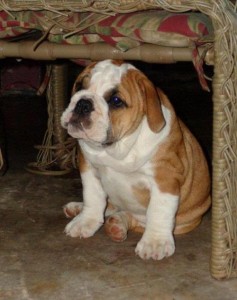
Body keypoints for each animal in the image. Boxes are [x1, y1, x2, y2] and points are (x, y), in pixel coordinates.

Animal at [61, 59, 211, 260]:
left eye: (116, 101)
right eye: (79, 86)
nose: (83, 103)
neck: (117, 147)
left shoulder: (165, 178)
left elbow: (159, 210)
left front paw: (155, 242)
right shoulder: (89, 168)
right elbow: (93, 197)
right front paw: (85, 221)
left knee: (136, 219)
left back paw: (117, 224)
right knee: (111, 207)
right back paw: (81, 209)